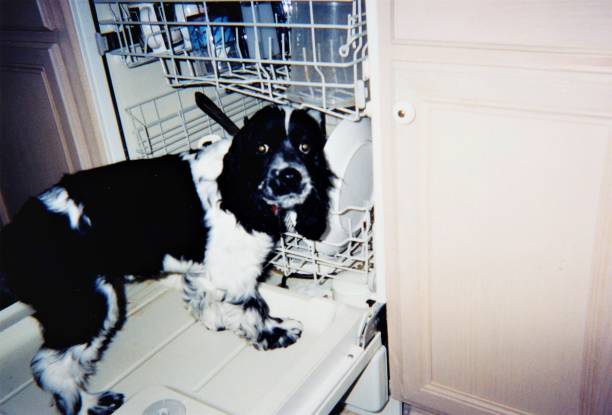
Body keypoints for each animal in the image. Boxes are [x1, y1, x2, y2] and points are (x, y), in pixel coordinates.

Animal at [0, 100, 332, 415]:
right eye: (262, 148)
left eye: (306, 147)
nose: (289, 177)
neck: (235, 185)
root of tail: (16, 235)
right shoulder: (237, 270)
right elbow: (254, 308)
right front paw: (277, 333)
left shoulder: (206, 268)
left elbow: (202, 295)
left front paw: (215, 321)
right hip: (89, 302)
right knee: (51, 365)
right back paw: (90, 404)